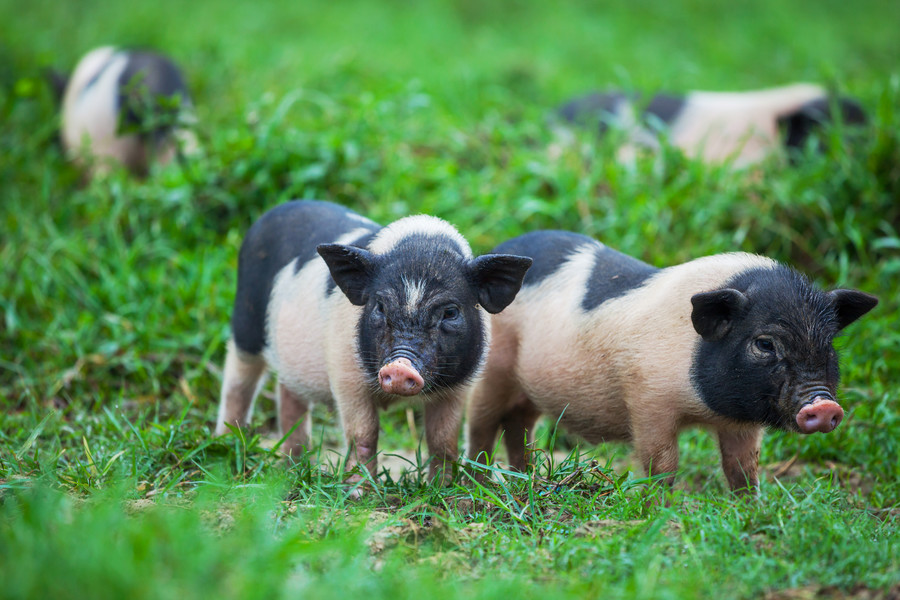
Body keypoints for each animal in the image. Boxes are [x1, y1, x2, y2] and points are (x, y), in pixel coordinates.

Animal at [214, 199, 532, 486]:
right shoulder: (345, 375)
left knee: (289, 397)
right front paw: (360, 492)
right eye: (379, 306)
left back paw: (295, 466)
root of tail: (271, 213)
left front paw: (443, 489)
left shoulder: (458, 386)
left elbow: (443, 439)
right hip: (245, 323)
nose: (400, 367)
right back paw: (227, 445)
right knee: (238, 383)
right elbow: (363, 433)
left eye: (451, 312)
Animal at [468, 230, 876, 492]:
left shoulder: (741, 423)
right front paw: (657, 512)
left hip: (527, 390)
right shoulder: (648, 400)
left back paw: (526, 477)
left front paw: (751, 508)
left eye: (829, 343)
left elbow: (743, 468)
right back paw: (478, 481)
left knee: (519, 425)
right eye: (764, 343)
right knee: (482, 425)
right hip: (493, 370)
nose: (824, 405)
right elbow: (661, 465)